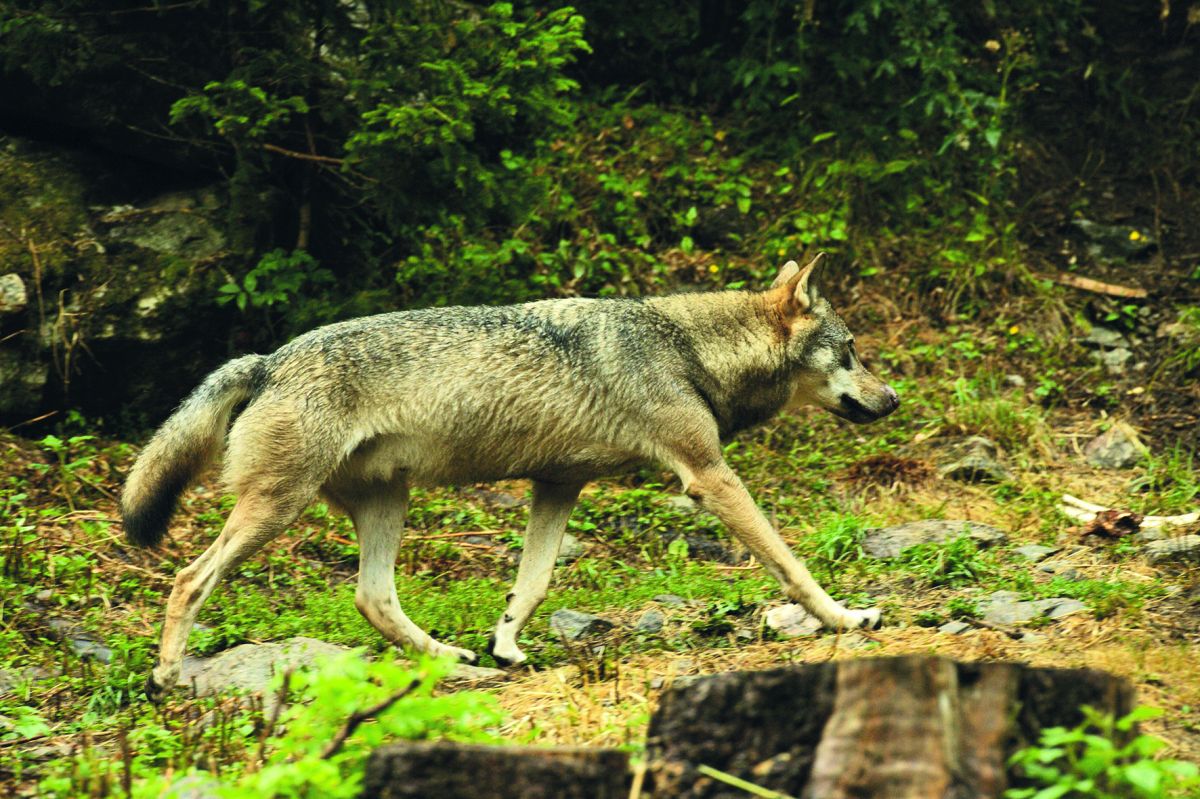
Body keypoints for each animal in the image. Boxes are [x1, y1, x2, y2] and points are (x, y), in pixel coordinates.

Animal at [124, 251, 902, 695]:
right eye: (853, 351)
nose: (893, 399)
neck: (685, 347)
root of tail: (265, 361)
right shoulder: (708, 476)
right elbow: (791, 564)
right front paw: (847, 616)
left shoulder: (558, 485)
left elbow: (531, 584)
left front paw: (503, 647)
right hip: (278, 508)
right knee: (189, 578)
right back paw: (166, 676)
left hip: (386, 504)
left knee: (372, 599)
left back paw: (457, 662)